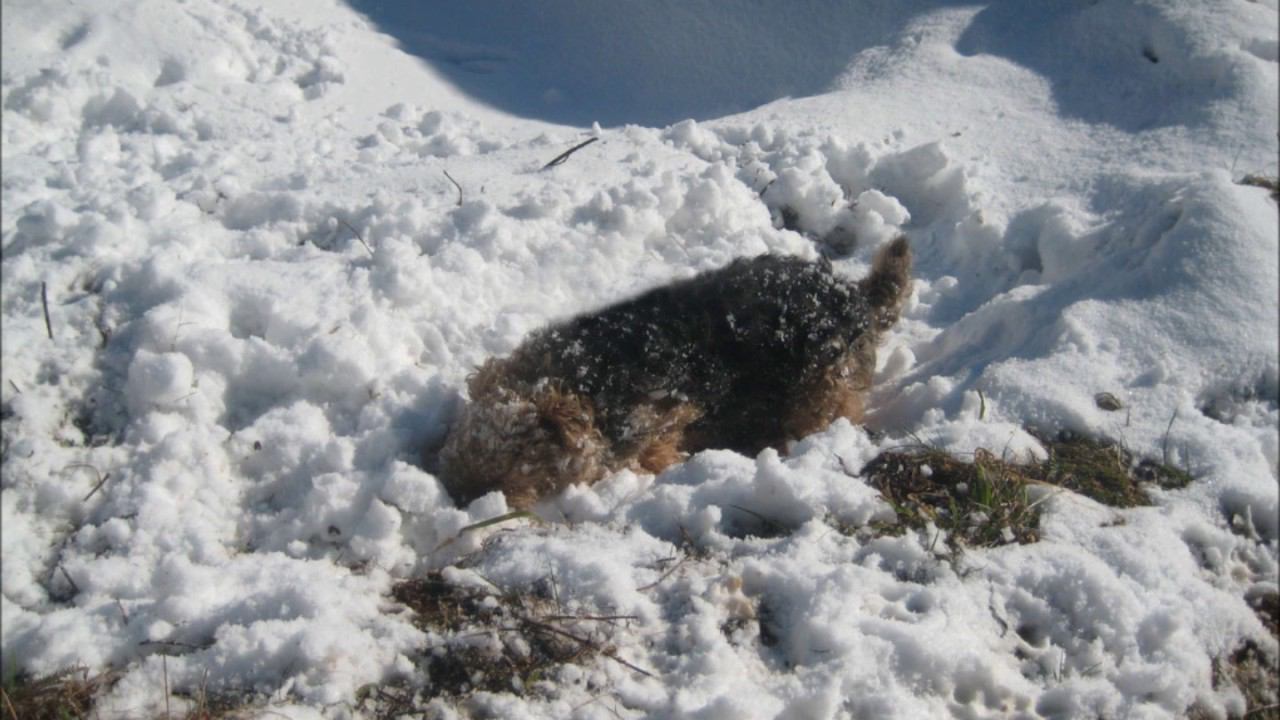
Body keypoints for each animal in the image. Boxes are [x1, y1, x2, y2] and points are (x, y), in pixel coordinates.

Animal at [437, 235, 911, 504]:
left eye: (521, 459)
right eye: (461, 447)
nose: (463, 498)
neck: (580, 378)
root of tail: (854, 295)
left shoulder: (663, 417)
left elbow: (657, 452)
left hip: (823, 387)